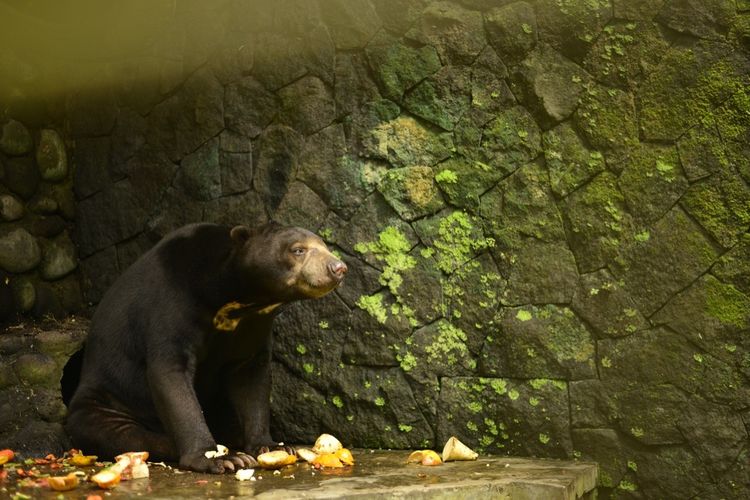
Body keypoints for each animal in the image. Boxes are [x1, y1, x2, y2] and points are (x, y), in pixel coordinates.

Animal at [66, 222, 348, 472]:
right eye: (298, 249)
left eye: (325, 246)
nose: (338, 268)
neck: (237, 301)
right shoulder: (171, 304)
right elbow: (170, 375)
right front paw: (218, 458)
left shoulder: (253, 326)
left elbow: (252, 379)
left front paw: (270, 446)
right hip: (103, 402)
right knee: (121, 433)